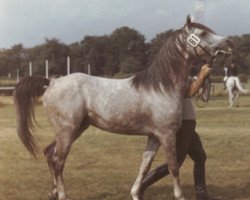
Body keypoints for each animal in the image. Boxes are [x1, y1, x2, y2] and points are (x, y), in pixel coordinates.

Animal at [13, 16, 232, 200]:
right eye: (203, 33)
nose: (229, 44)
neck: (162, 87)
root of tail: (51, 82)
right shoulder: (167, 135)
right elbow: (173, 167)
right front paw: (179, 196)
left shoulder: (154, 137)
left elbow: (145, 166)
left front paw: (135, 193)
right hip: (67, 131)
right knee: (58, 161)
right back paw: (62, 194)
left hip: (75, 129)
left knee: (49, 153)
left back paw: (53, 191)